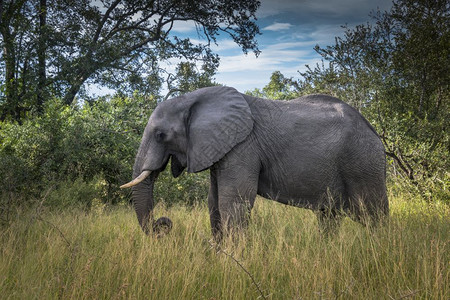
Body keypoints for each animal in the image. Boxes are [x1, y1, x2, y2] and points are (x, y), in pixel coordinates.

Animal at [121, 85, 388, 238]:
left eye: (160, 135)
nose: (163, 224)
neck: (194, 98)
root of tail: (374, 132)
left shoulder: (243, 146)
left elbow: (233, 201)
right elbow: (214, 201)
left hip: (363, 162)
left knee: (373, 214)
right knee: (329, 215)